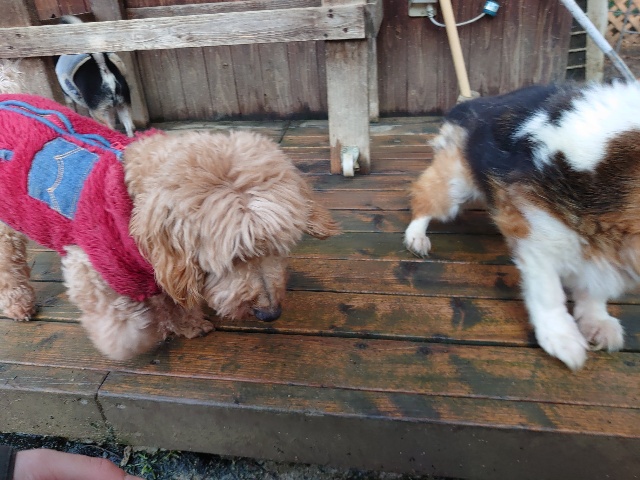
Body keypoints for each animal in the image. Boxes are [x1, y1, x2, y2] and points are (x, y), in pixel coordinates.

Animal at [0, 60, 340, 361]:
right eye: (234, 258)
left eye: (277, 248)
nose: (270, 313)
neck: (131, 205)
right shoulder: (90, 265)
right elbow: (125, 329)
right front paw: (155, 326)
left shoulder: (165, 261)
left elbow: (172, 296)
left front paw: (187, 323)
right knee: (8, 267)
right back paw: (18, 304)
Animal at [404, 82, 640, 370]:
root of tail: (472, 103)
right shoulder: (537, 237)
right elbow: (549, 293)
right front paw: (562, 338)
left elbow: (594, 289)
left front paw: (596, 322)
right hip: (455, 185)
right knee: (424, 198)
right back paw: (416, 236)